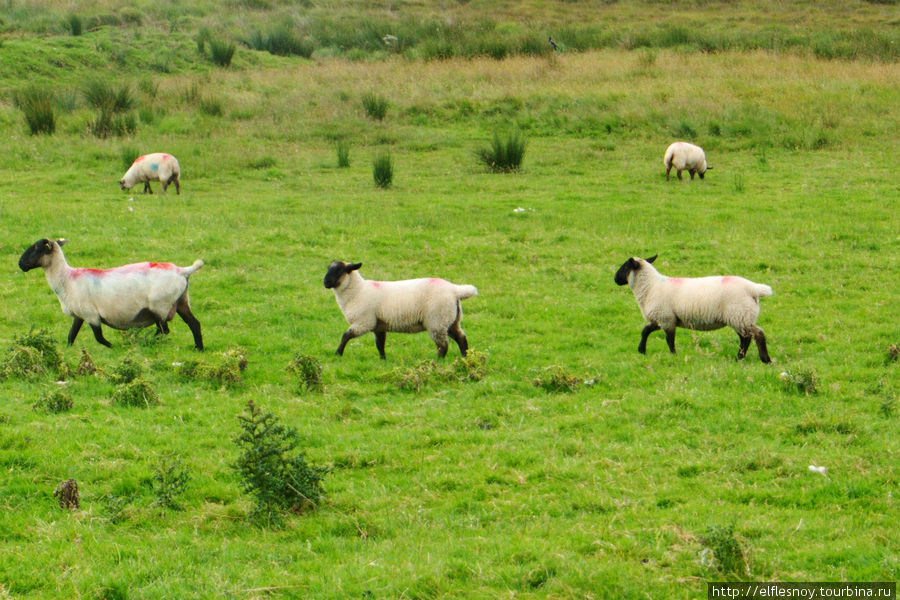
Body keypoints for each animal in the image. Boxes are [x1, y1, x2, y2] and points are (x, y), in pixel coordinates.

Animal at [18, 238, 204, 350]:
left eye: (36, 248)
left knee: (164, 330)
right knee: (194, 324)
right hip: (181, 301)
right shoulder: (79, 315)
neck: (66, 279)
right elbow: (71, 335)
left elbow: (99, 337)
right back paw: (199, 348)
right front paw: (68, 350)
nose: (20, 264)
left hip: (160, 306)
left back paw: (146, 341)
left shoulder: (91, 315)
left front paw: (112, 347)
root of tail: (182, 271)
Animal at [612, 255, 772, 364]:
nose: (615, 279)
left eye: (625, 267)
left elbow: (669, 340)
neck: (650, 287)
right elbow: (645, 331)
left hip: (739, 315)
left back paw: (755, 359)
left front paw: (673, 356)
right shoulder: (663, 318)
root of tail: (753, 289)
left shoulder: (665, 318)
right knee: (749, 336)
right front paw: (642, 350)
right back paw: (748, 358)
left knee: (753, 336)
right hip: (742, 317)